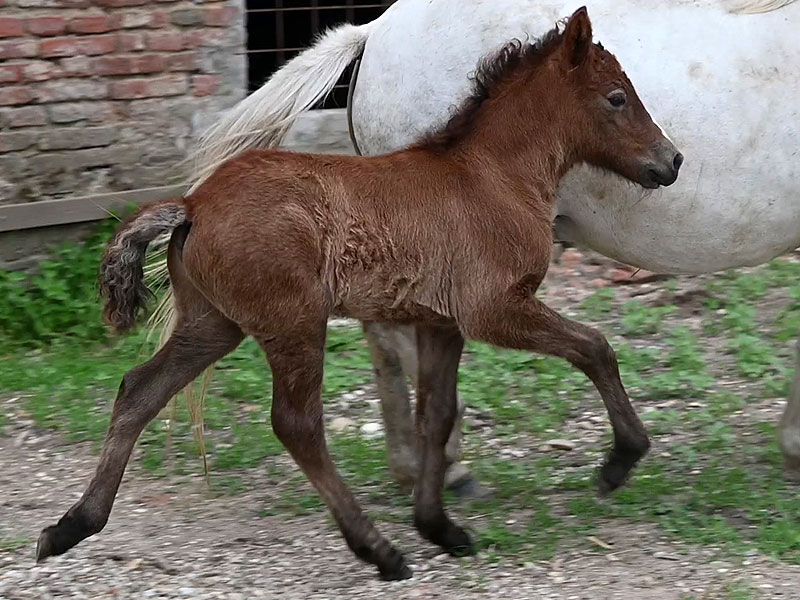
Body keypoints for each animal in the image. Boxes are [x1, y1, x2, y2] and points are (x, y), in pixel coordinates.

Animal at [37, 9, 682, 580]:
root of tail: (192, 204)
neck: (491, 176)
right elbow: (594, 346)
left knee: (138, 391)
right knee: (296, 424)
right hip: (294, 322)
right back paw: (379, 551)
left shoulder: (439, 322)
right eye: (617, 97)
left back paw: (70, 527)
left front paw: (438, 525)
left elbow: (435, 416)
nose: (671, 161)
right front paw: (620, 459)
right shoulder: (493, 309)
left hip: (214, 323)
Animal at [181, 0, 800, 490]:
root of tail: (375, 30)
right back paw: (448, 467)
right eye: (616, 98)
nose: (672, 161)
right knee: (398, 338)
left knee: (384, 336)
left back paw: (412, 463)